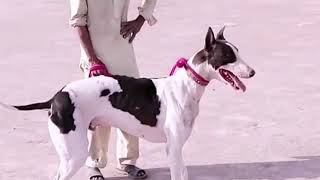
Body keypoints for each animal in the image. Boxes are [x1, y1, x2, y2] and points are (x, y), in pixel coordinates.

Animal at [0, 27, 255, 180]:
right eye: (229, 56)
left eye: (238, 52)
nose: (253, 72)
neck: (186, 84)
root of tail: (57, 96)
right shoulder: (173, 149)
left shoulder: (178, 149)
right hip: (74, 154)